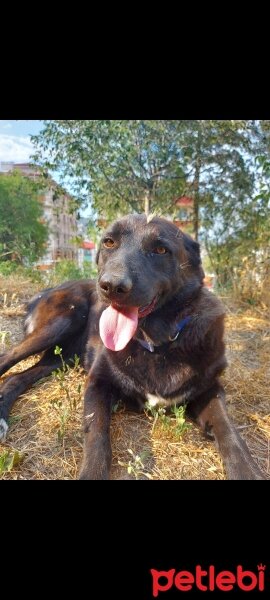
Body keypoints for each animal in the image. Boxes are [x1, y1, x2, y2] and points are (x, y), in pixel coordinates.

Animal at [0, 213, 264, 480]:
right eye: (108, 242)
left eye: (160, 249)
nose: (111, 286)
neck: (157, 345)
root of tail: (46, 290)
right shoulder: (97, 382)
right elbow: (97, 436)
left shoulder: (210, 389)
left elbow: (229, 431)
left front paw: (248, 470)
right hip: (63, 320)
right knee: (8, 357)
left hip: (61, 357)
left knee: (17, 377)